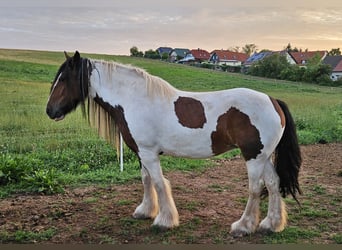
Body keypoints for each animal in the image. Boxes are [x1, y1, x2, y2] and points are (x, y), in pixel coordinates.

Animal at [46, 51, 302, 236]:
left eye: (64, 79)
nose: (50, 111)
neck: (135, 99)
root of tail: (273, 101)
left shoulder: (149, 153)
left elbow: (159, 183)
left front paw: (164, 221)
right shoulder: (142, 153)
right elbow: (146, 180)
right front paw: (145, 211)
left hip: (253, 157)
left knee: (256, 188)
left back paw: (243, 226)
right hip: (263, 156)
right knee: (273, 183)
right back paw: (271, 224)